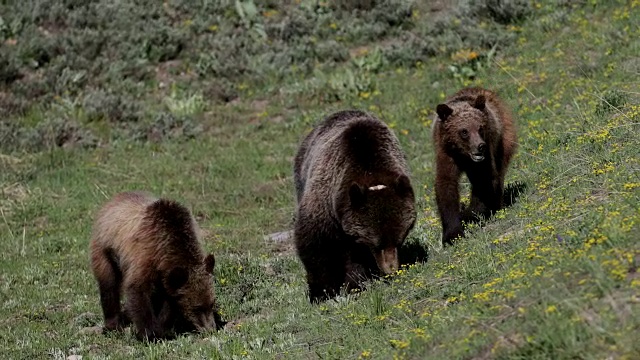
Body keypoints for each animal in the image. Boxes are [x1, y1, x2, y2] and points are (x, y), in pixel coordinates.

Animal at [89, 191, 225, 340]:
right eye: (197, 307)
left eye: (211, 303)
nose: (211, 329)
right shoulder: (144, 256)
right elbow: (138, 290)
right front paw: (149, 333)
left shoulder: (168, 275)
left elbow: (169, 301)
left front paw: (163, 328)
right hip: (104, 250)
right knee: (109, 285)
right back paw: (113, 325)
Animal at [294, 110, 418, 304]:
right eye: (377, 244)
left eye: (400, 239)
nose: (391, 269)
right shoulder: (324, 201)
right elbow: (315, 245)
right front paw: (322, 292)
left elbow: (356, 260)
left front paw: (353, 285)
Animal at [432, 87, 516, 245]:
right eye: (464, 131)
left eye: (480, 128)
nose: (480, 146)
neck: (462, 154)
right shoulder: (446, 154)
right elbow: (446, 186)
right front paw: (452, 234)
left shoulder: (486, 154)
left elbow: (484, 180)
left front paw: (469, 214)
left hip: (503, 137)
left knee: (500, 170)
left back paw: (498, 205)